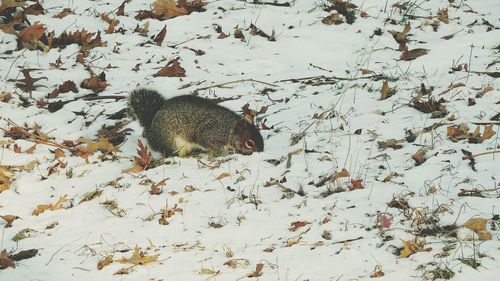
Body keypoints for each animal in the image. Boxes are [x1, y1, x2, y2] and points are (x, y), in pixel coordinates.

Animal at [127, 88, 264, 156]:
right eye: (249, 143)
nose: (260, 152)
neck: (229, 129)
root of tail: (151, 126)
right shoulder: (209, 133)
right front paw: (224, 153)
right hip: (172, 142)